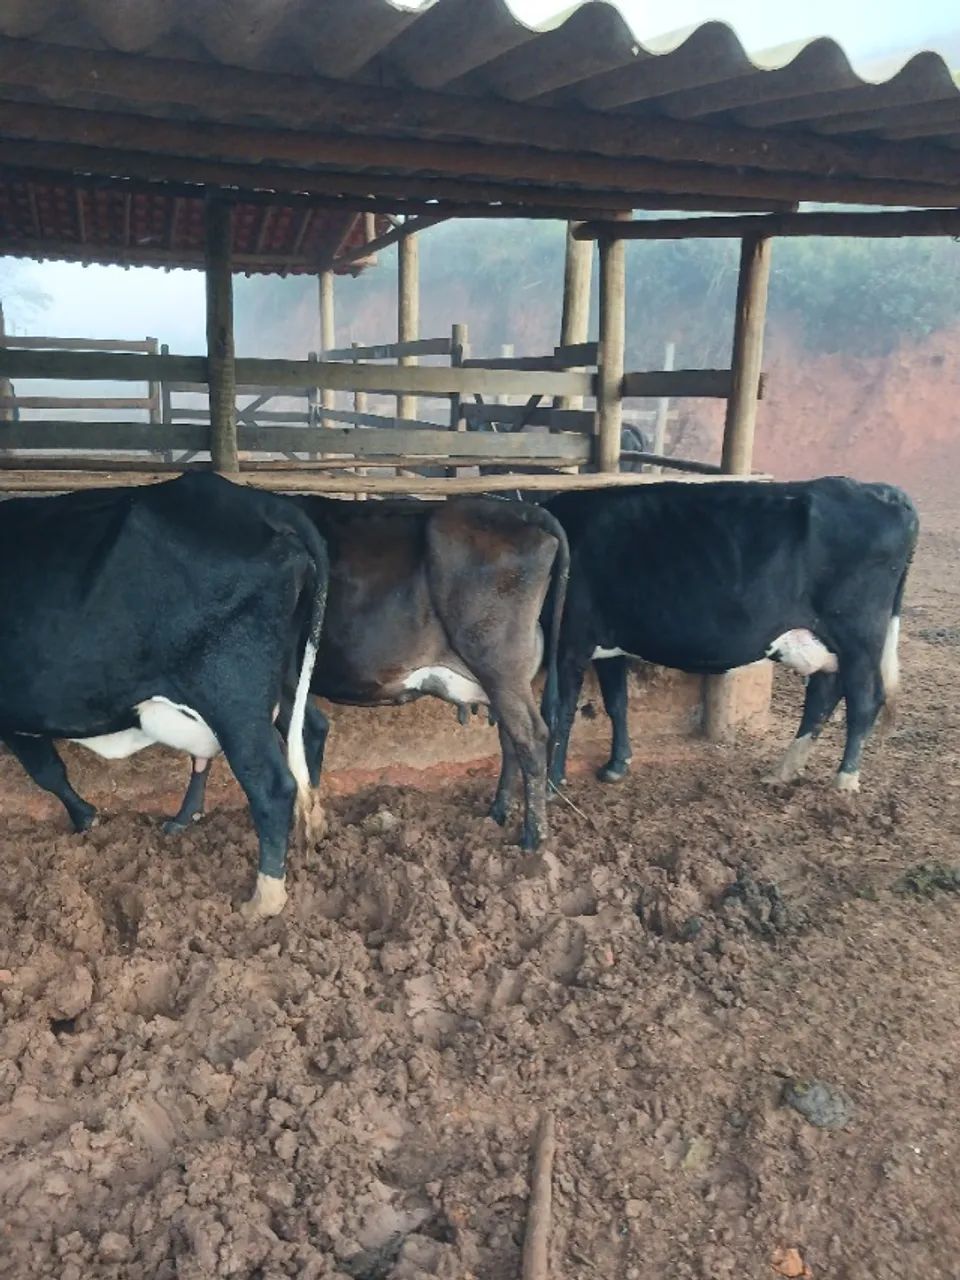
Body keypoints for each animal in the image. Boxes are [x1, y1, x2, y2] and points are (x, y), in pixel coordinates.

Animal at [0, 472, 329, 918]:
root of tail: (259, 504)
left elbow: (47, 771)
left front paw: (85, 818)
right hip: (282, 675)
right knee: (311, 728)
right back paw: (308, 827)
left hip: (232, 692)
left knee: (271, 784)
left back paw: (265, 898)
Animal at [168, 495, 569, 851]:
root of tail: (518, 509)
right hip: (502, 676)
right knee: (510, 738)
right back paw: (498, 811)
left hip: (498, 663)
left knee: (530, 738)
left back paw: (533, 839)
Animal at [541, 478, 919, 795]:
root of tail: (881, 489)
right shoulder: (608, 643)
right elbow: (617, 703)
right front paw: (616, 765)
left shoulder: (570, 640)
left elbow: (561, 709)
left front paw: (552, 781)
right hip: (824, 642)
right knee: (824, 695)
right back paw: (784, 770)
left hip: (859, 636)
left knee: (864, 699)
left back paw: (844, 781)